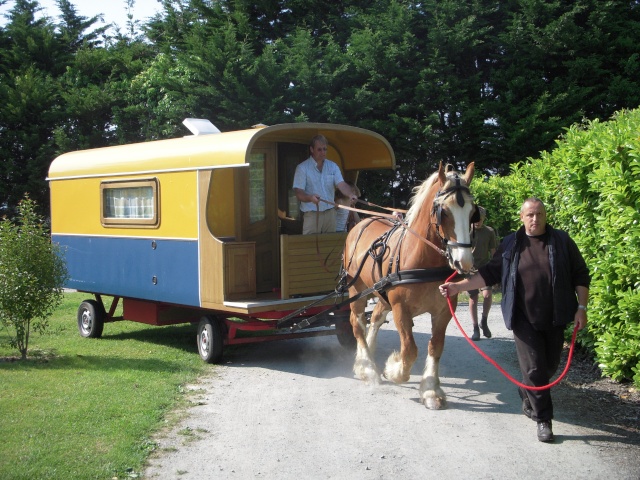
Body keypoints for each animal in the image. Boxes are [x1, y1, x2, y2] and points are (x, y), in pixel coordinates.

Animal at [340, 162, 476, 408]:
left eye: (473, 212)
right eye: (443, 212)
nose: (465, 262)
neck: (423, 260)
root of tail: (363, 221)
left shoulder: (444, 310)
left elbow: (436, 346)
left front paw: (430, 389)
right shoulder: (401, 309)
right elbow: (410, 349)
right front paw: (394, 370)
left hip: (380, 290)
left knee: (374, 318)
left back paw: (370, 355)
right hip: (357, 290)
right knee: (357, 323)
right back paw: (367, 368)